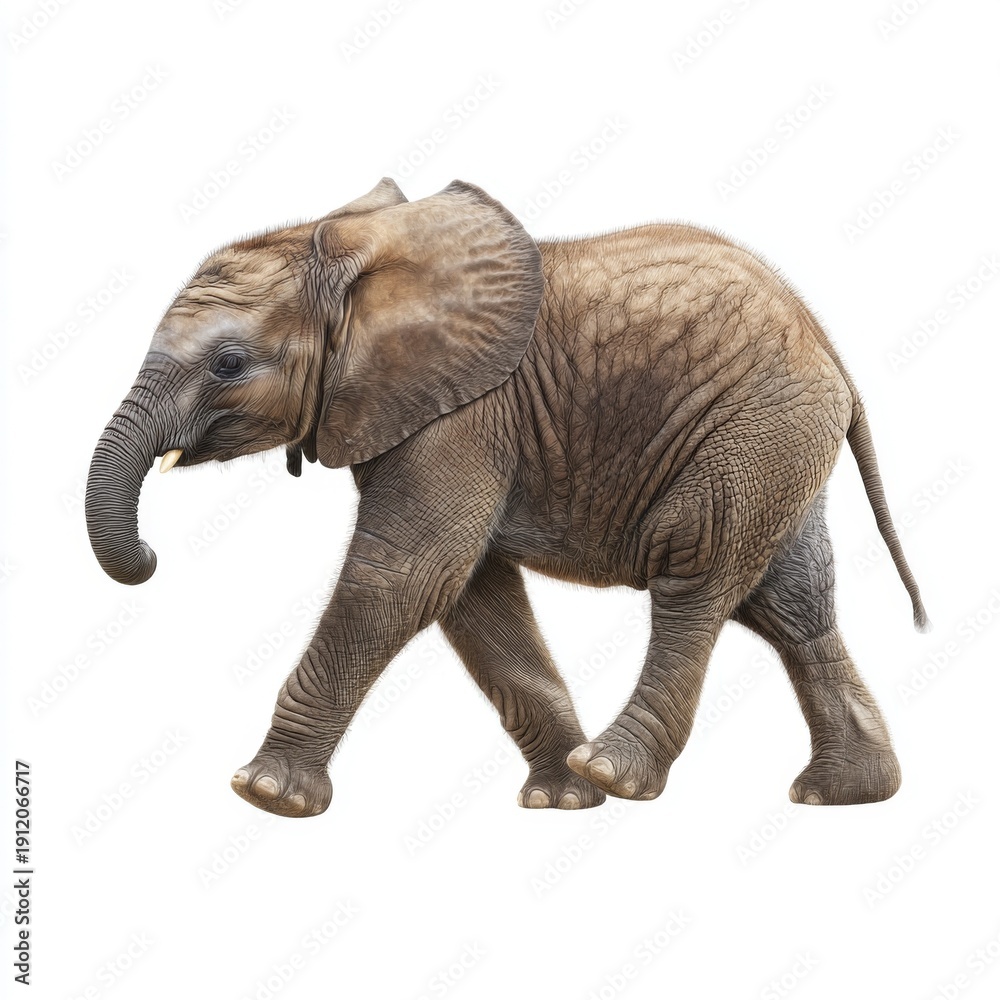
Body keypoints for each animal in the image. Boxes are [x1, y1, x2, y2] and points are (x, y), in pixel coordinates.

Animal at [85, 178, 928, 818]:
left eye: (228, 363)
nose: (150, 556)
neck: (363, 252)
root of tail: (829, 348)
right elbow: (471, 594)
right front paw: (561, 804)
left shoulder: (463, 412)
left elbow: (407, 574)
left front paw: (266, 795)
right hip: (778, 440)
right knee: (791, 604)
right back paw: (839, 796)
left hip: (751, 426)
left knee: (695, 572)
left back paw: (617, 772)